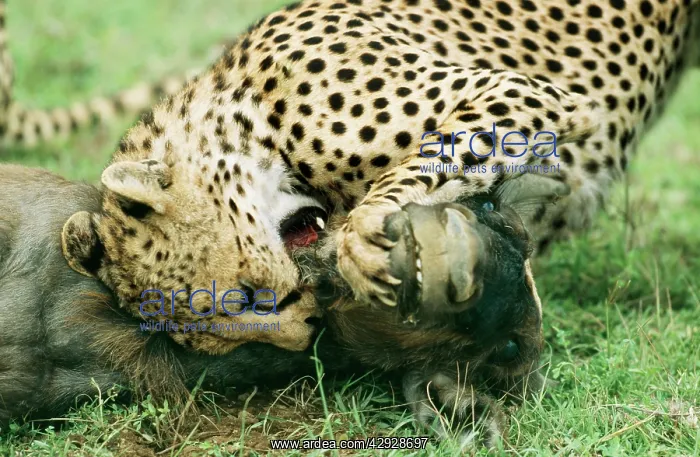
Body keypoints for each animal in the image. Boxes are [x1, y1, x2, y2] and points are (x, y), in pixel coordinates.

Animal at [59, 0, 700, 449]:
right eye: (220, 339)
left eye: (245, 297)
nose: (304, 332)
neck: (247, 110)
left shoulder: (517, 91)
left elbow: (424, 163)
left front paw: (366, 238)